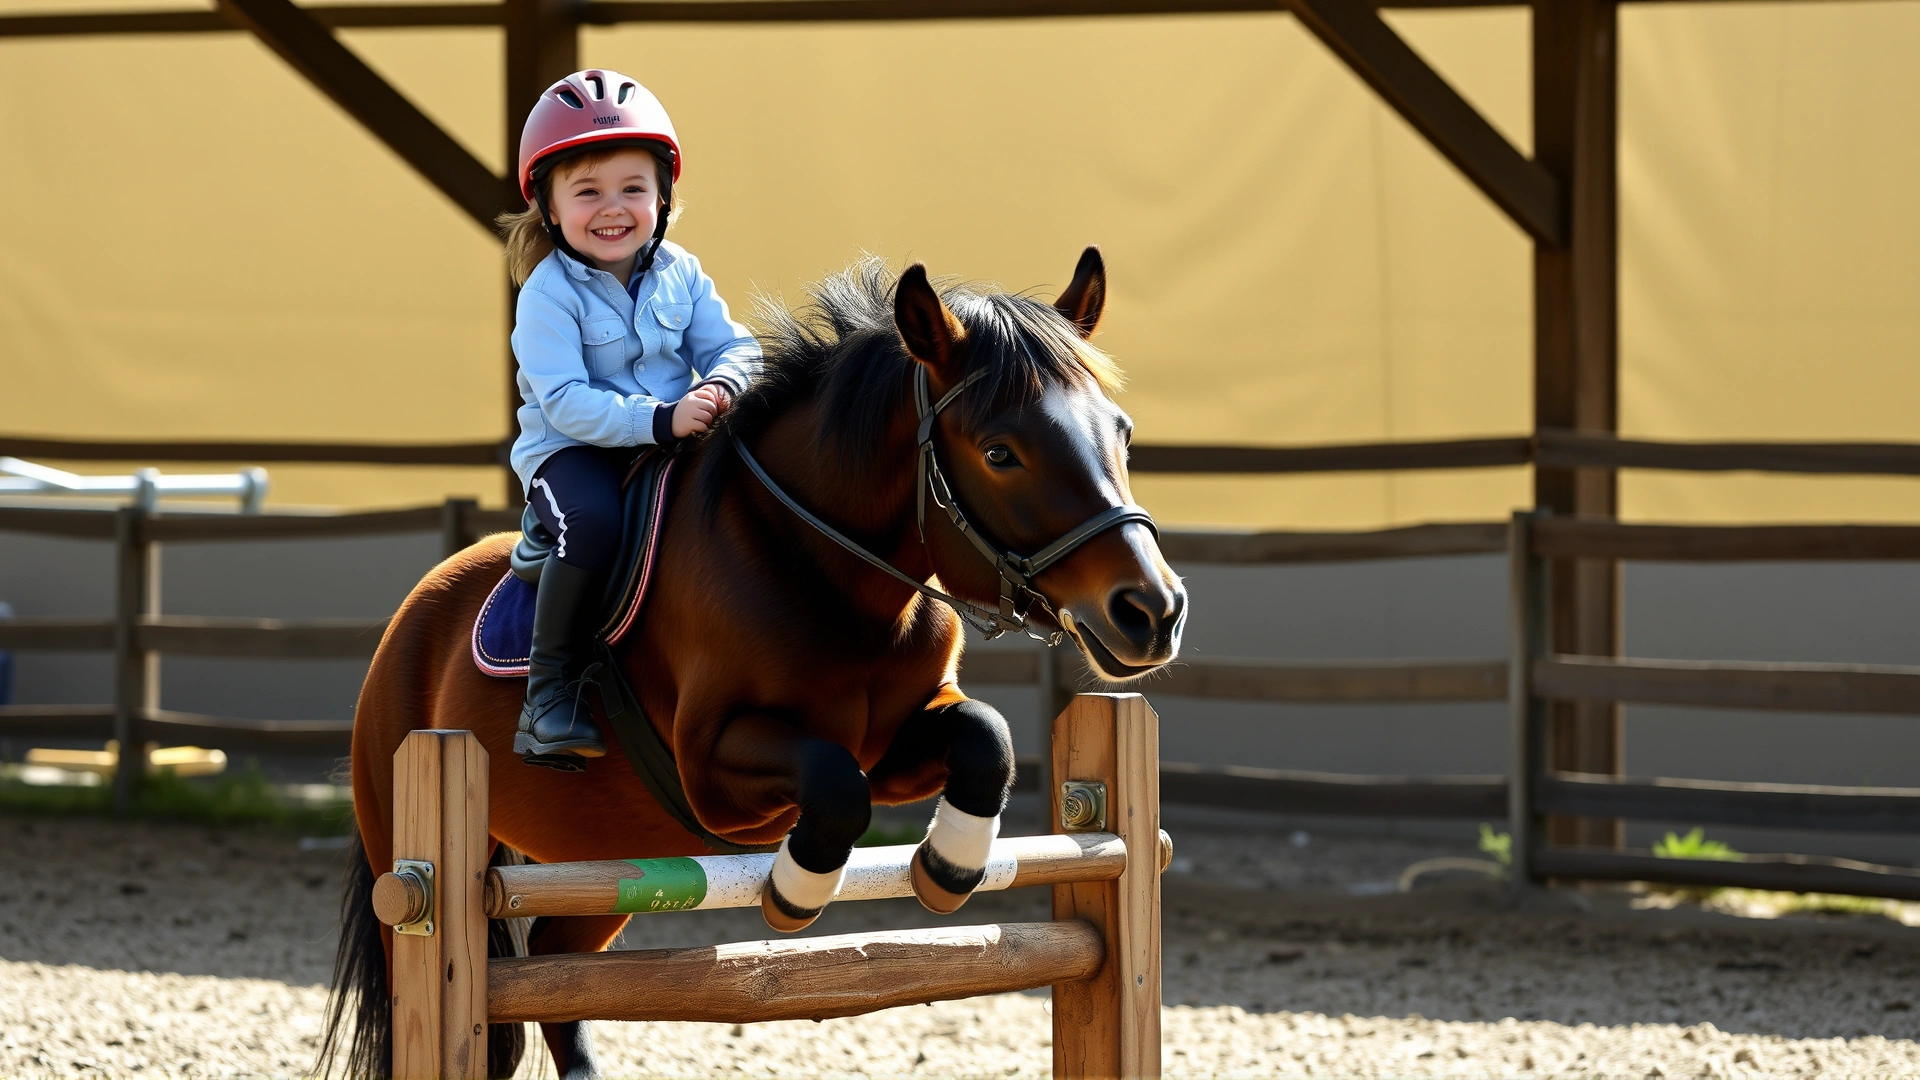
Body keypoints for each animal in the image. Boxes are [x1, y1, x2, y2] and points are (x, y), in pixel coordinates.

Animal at [319, 249, 1188, 1079]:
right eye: (1001, 452)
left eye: (1121, 431)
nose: (1153, 612)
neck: (827, 569)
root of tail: (414, 610)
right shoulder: (714, 770)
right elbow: (834, 784)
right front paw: (793, 895)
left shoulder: (898, 749)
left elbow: (986, 737)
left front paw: (948, 865)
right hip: (406, 845)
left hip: (604, 870)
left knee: (555, 973)